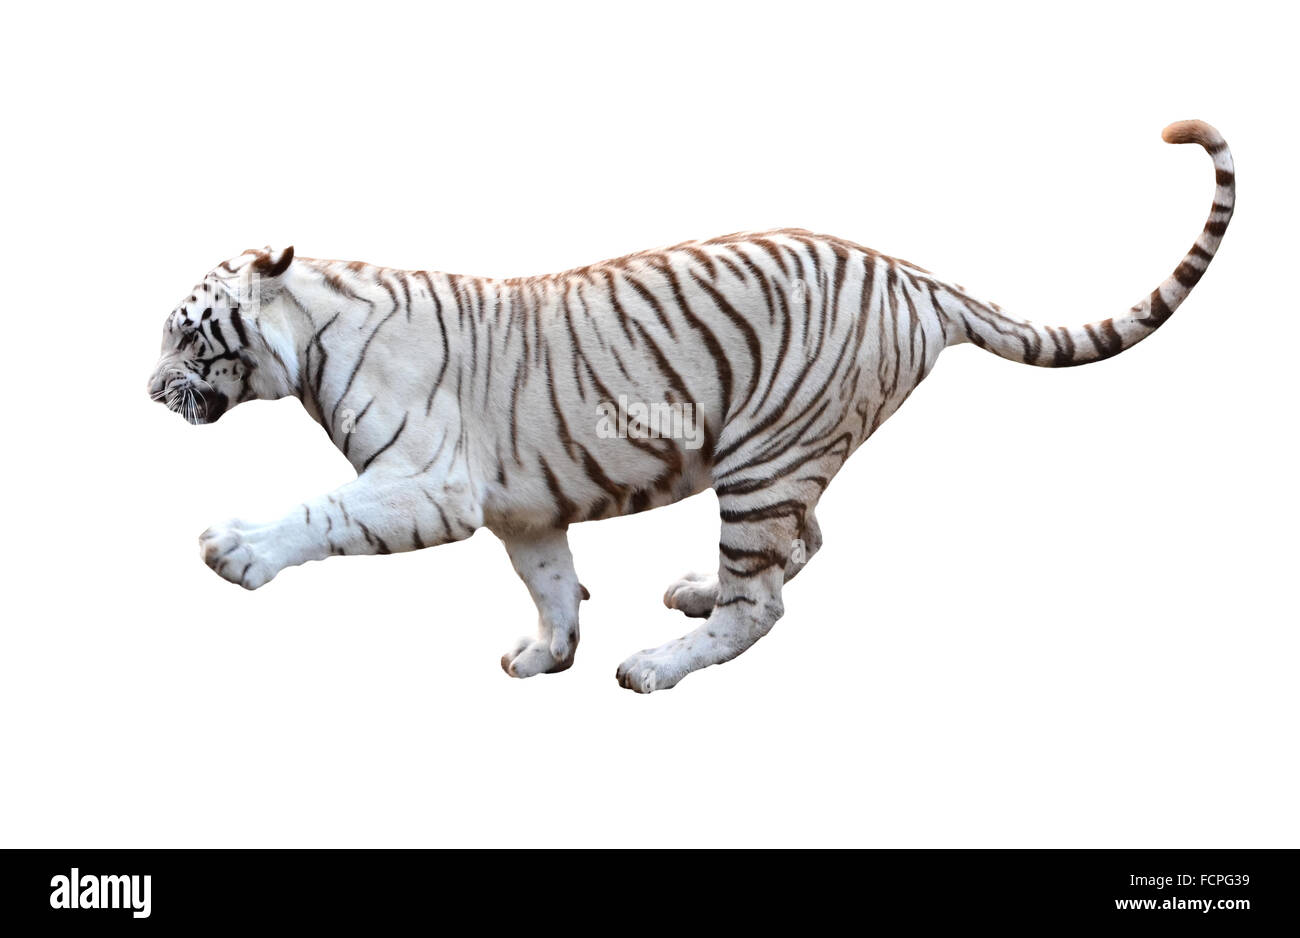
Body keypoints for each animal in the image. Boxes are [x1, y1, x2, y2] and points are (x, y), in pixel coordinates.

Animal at [148, 120, 1233, 693]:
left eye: (185, 334)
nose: (149, 392)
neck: (309, 340)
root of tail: (914, 273)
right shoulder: (521, 507)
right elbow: (548, 581)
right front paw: (546, 654)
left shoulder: (428, 484)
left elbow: (322, 513)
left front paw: (236, 549)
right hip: (780, 465)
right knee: (799, 549)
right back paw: (696, 596)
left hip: (767, 455)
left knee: (768, 596)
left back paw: (660, 664)